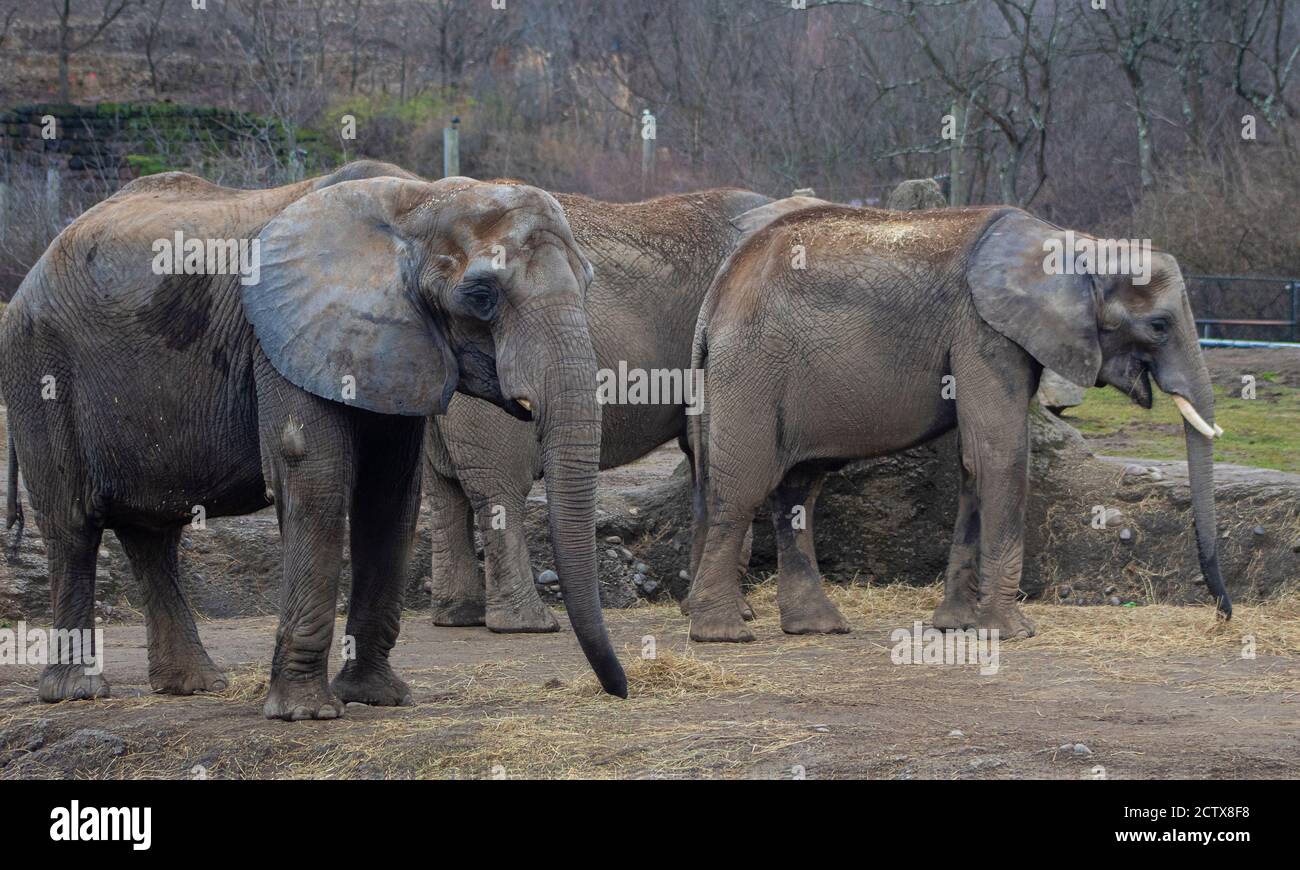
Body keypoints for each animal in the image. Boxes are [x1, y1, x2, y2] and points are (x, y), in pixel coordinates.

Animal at [0, 160, 627, 718]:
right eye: (480, 296)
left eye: (590, 282)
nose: (616, 691)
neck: (419, 202)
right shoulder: (282, 338)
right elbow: (317, 479)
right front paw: (305, 713)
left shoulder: (395, 347)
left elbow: (389, 496)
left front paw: (378, 699)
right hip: (40, 368)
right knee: (71, 523)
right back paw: (77, 694)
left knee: (152, 534)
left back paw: (195, 686)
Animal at [685, 203, 1232, 642]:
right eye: (1158, 325)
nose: (1223, 616)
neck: (1078, 246)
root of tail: (713, 297)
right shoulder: (983, 331)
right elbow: (999, 455)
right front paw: (1013, 633)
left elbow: (975, 466)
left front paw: (959, 626)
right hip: (753, 366)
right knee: (743, 488)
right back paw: (723, 634)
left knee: (799, 489)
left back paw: (816, 627)